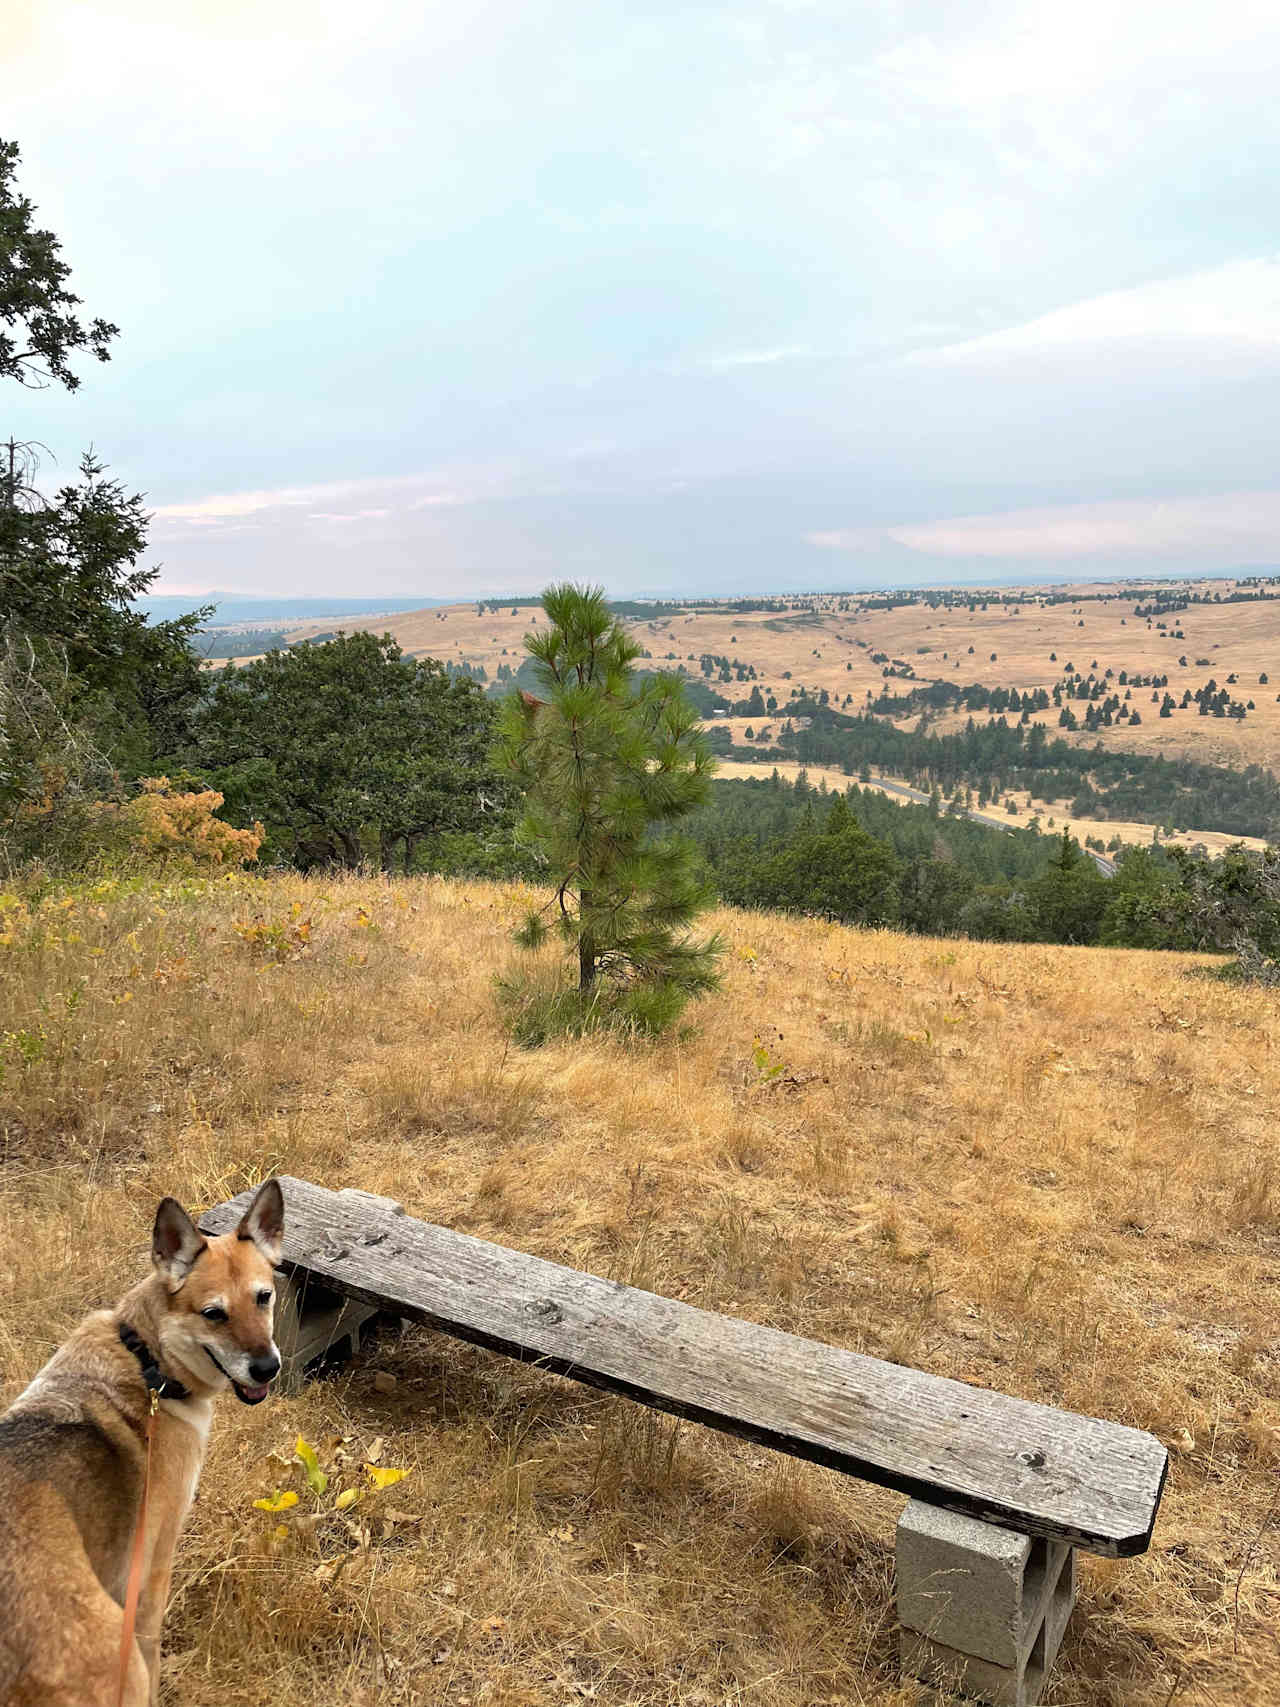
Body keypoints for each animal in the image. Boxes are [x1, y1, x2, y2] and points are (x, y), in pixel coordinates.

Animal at [0, 1181, 283, 1700]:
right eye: (214, 1314)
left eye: (264, 1297)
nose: (267, 1368)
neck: (148, 1361)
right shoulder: (151, 1578)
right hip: (122, 1658)